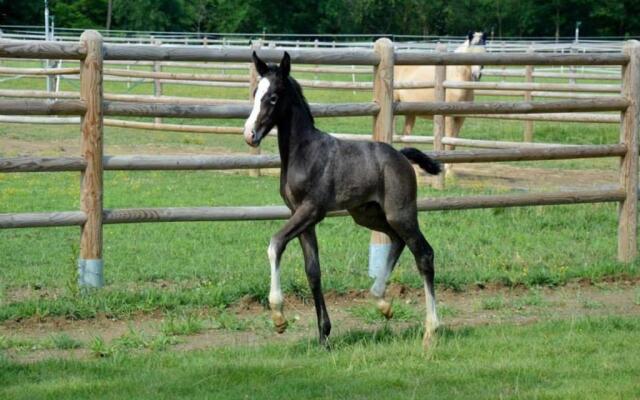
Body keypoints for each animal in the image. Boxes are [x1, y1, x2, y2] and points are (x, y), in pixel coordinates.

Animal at [242, 52, 442, 346]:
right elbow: (313, 271)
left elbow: (275, 243)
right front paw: (323, 335)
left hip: (401, 213)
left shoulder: (312, 210)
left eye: (274, 97)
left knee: (424, 254)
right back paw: (382, 302)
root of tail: (401, 156)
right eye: (256, 93)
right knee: (397, 240)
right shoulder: (301, 216)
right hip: (367, 214)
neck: (305, 152)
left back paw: (431, 329)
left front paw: (278, 317)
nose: (249, 135)